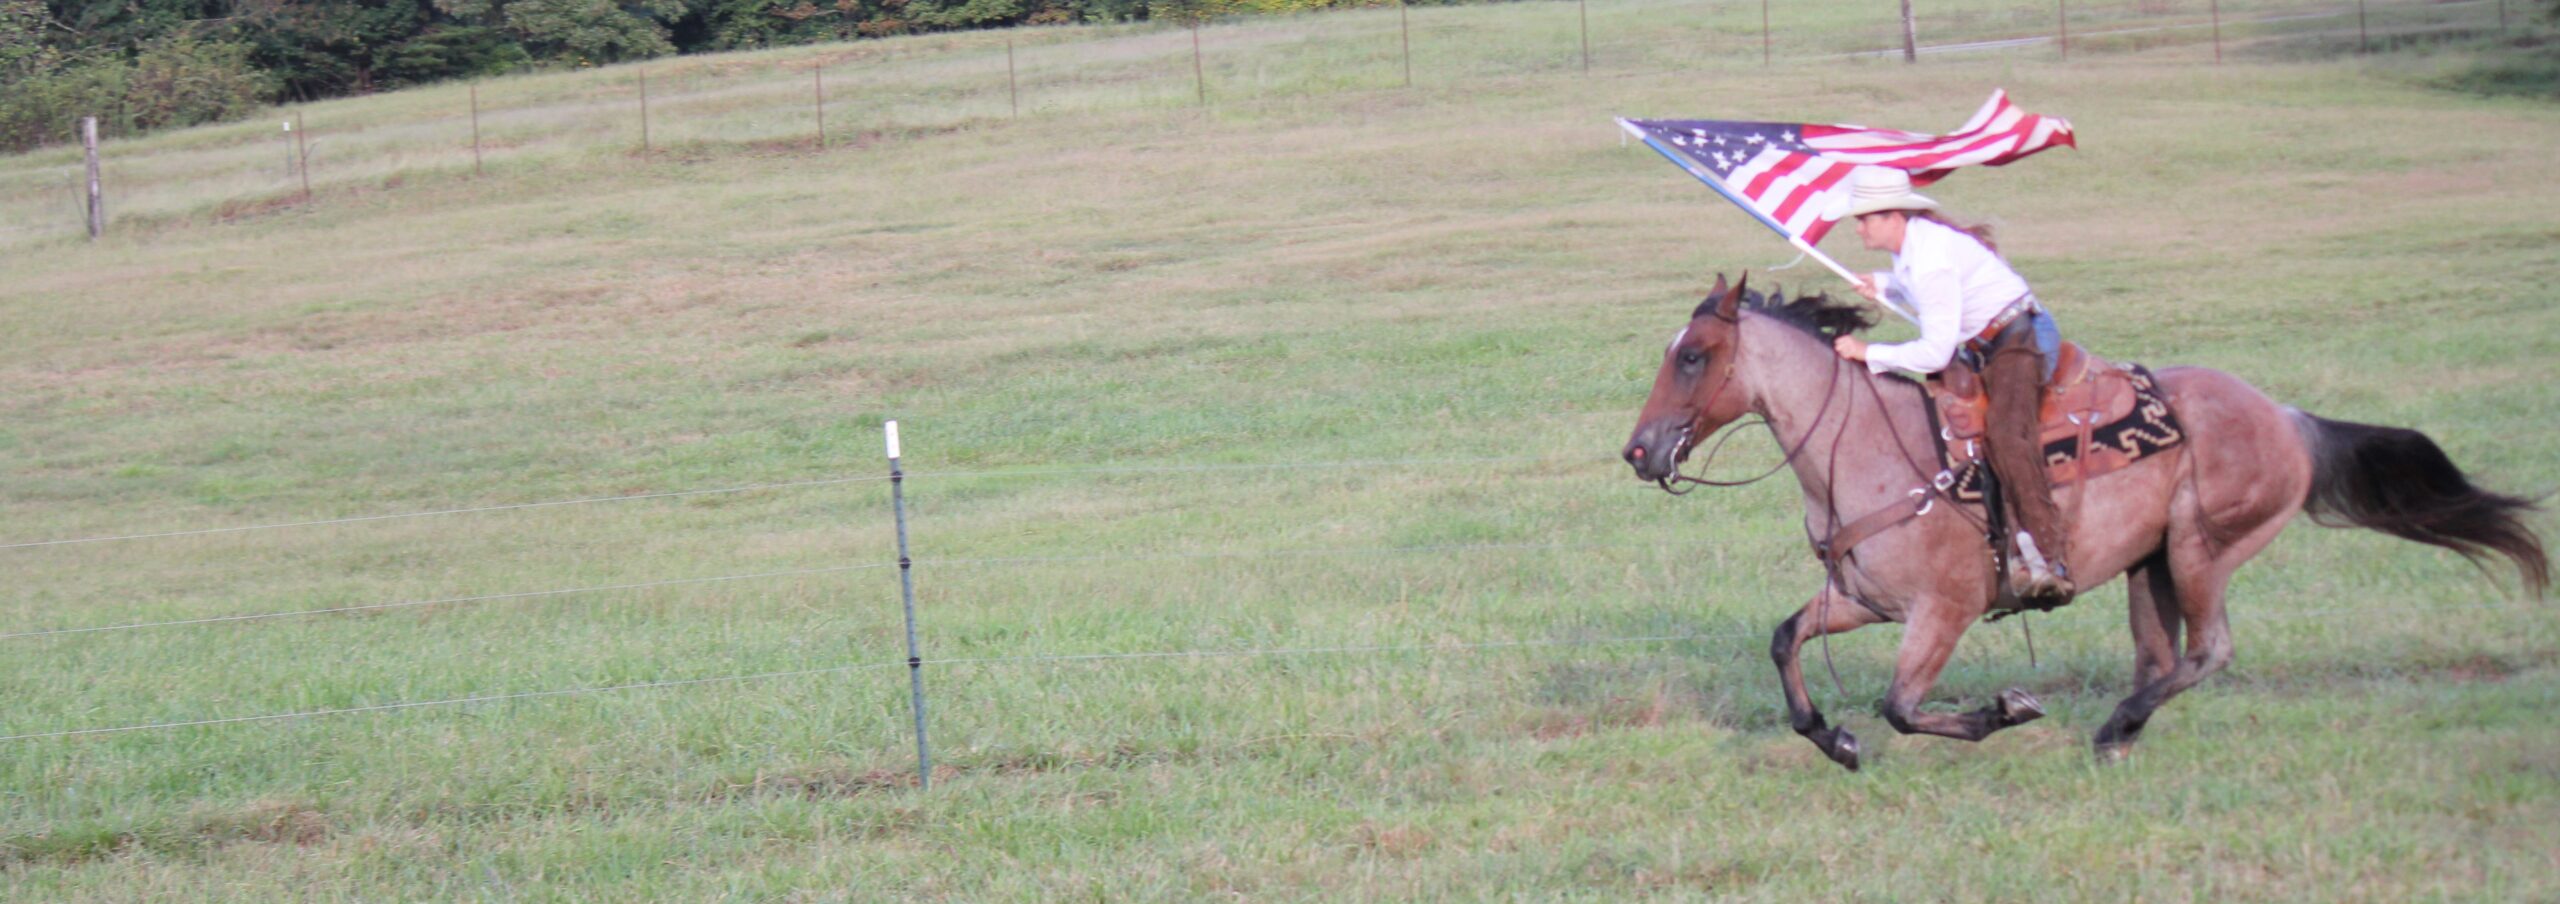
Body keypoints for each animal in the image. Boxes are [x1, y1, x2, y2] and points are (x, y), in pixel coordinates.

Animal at [1617, 274, 2539, 768]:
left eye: (1693, 355)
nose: (1639, 451)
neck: (1872, 450)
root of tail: (2286, 417)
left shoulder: (1943, 612)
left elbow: (1902, 705)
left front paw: (2007, 709)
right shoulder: (1862, 600)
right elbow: (1786, 642)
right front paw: (1832, 740)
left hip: (2203, 550)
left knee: (2209, 651)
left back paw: (2114, 727)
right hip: (2151, 565)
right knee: (2163, 656)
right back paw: (2121, 734)